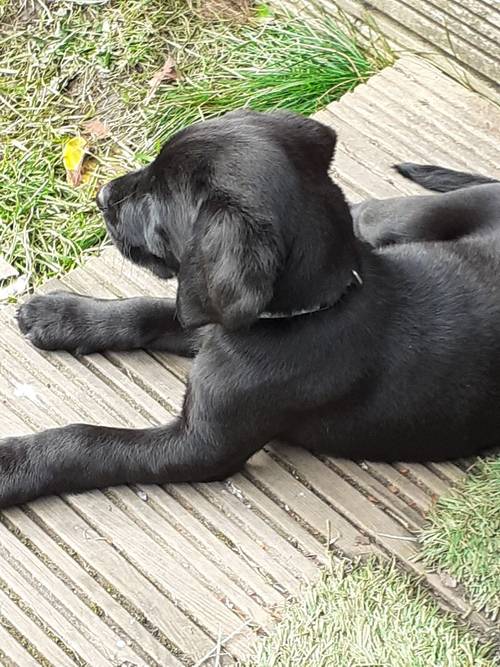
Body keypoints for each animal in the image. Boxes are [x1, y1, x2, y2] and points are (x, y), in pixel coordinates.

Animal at [0, 111, 500, 506]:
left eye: (159, 199)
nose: (102, 194)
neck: (314, 310)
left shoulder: (199, 447)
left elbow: (88, 442)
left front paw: (12, 464)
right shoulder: (210, 320)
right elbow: (144, 313)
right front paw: (60, 316)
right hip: (405, 218)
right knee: (372, 213)